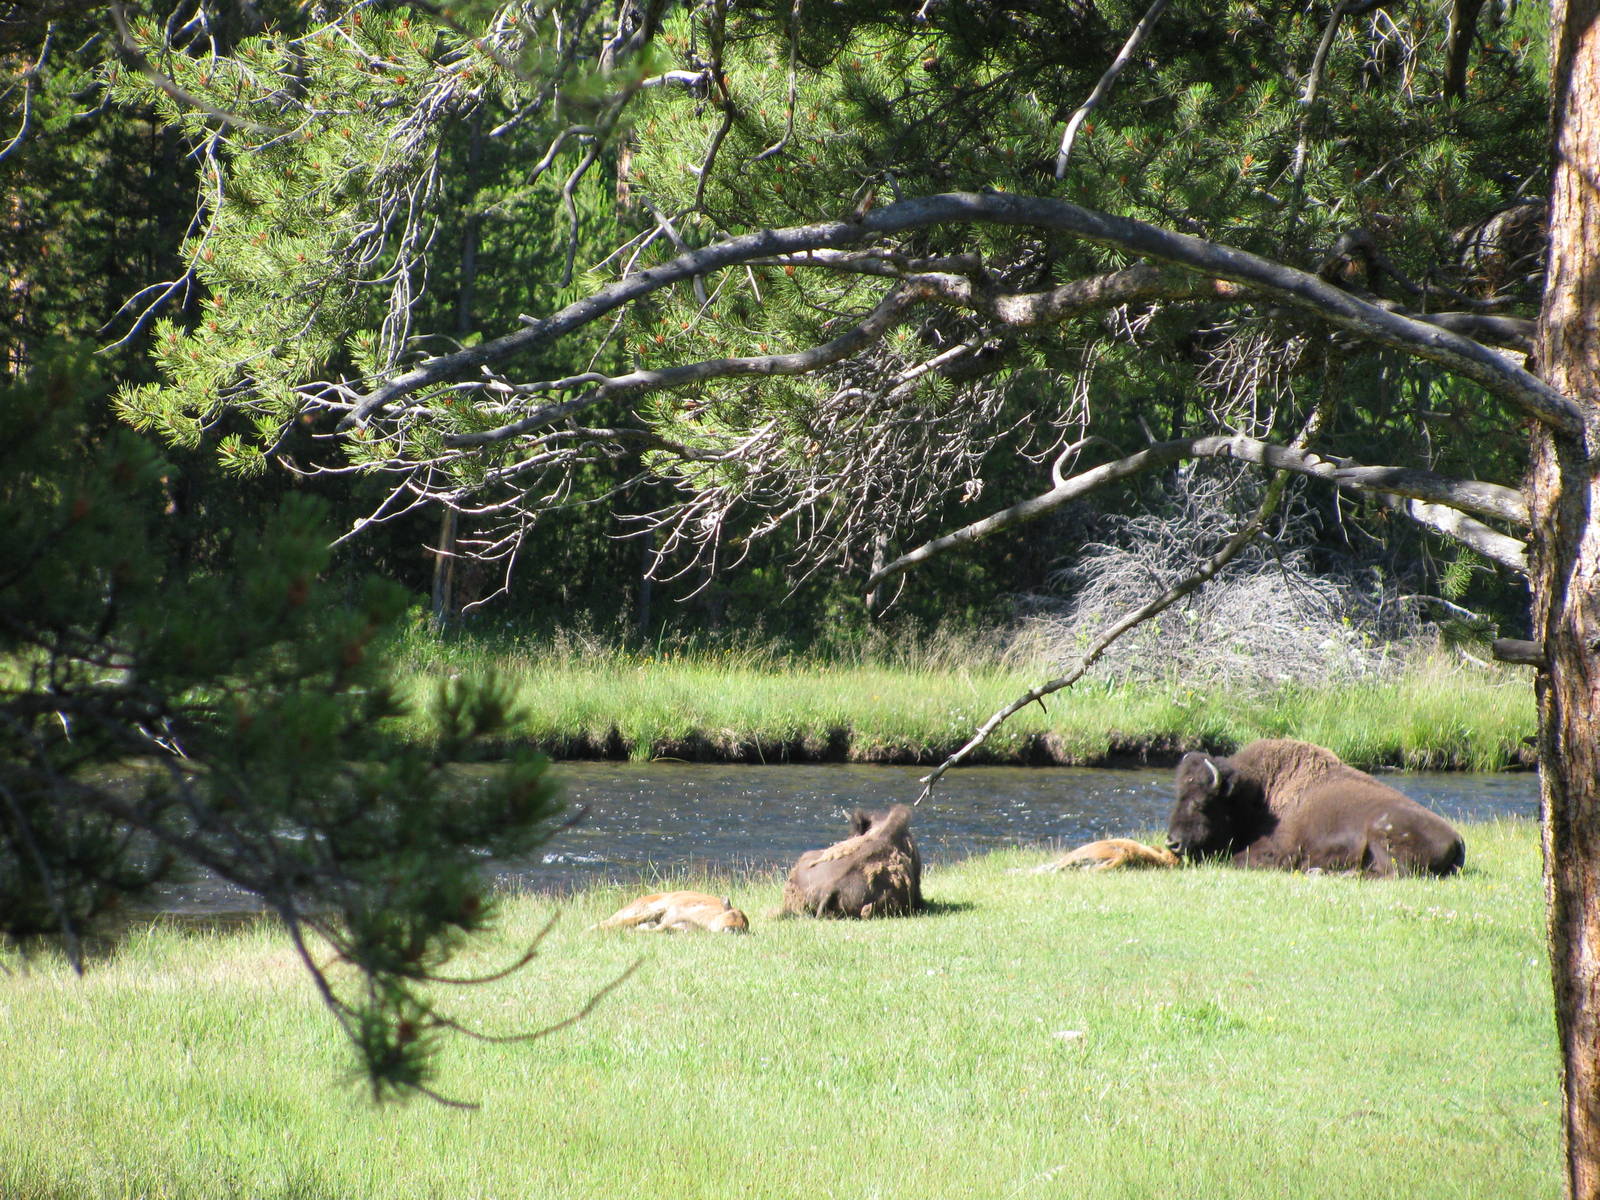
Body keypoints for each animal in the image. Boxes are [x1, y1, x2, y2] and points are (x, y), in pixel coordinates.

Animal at [1167, 738, 1465, 876]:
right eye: (1178, 795)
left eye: (1201, 802)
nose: (1172, 843)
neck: (1258, 794)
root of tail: (1457, 838)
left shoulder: (1278, 852)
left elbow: (1235, 859)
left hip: (1382, 832)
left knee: (1391, 874)